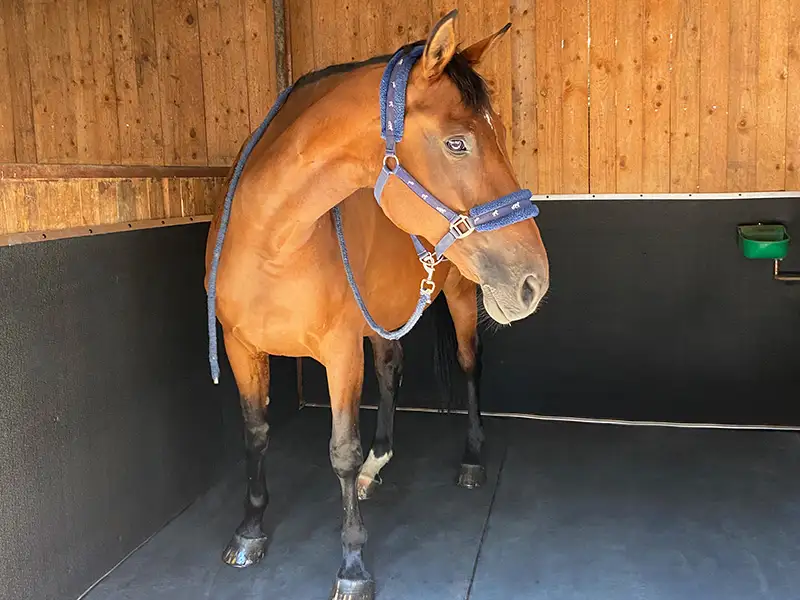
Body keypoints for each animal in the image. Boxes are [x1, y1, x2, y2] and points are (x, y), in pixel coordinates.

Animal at [204, 10, 549, 600]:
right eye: (457, 143)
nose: (535, 280)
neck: (271, 240)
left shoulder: (341, 353)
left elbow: (340, 451)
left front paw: (352, 565)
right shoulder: (241, 347)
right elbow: (256, 435)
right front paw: (249, 531)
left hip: (461, 296)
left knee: (468, 365)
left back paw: (471, 460)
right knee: (391, 368)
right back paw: (378, 461)